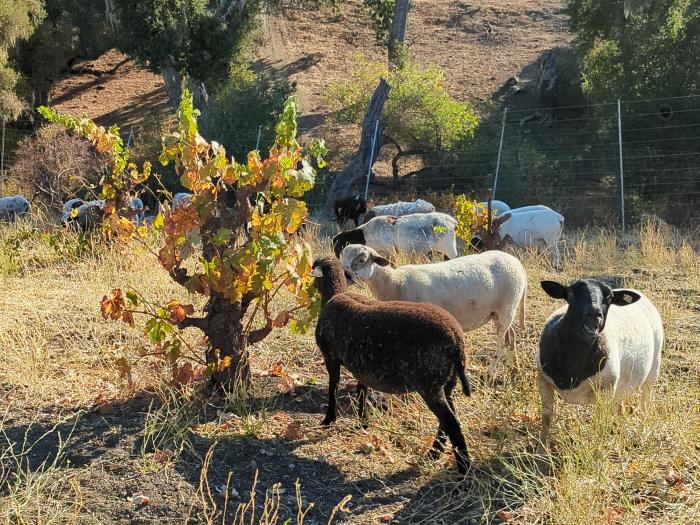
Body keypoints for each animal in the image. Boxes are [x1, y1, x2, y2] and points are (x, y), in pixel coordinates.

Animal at [310, 256, 473, 476]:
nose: (312, 285)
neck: (335, 294)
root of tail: (457, 342)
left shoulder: (330, 356)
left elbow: (333, 388)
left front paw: (328, 420)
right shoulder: (363, 367)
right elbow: (362, 391)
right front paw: (363, 421)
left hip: (428, 383)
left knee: (451, 422)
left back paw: (463, 468)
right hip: (447, 381)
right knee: (448, 418)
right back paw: (435, 453)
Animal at [342, 244, 527, 384]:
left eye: (362, 260)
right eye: (341, 257)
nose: (345, 274)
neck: (396, 284)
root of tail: (517, 264)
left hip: (506, 308)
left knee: (502, 346)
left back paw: (490, 378)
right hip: (502, 312)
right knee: (512, 337)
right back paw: (515, 370)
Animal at [536, 279, 663, 454]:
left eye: (609, 297)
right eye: (570, 294)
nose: (595, 314)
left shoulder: (605, 392)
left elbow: (600, 426)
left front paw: (597, 455)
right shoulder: (544, 381)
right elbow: (547, 418)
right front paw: (541, 451)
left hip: (653, 370)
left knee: (645, 404)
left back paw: (640, 436)